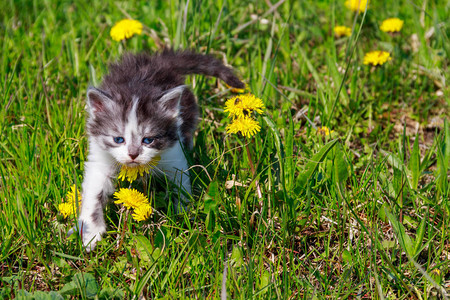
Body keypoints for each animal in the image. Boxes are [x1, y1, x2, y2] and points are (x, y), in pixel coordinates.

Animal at [72, 50, 244, 252]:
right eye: (118, 139)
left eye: (148, 140)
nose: (133, 154)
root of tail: (156, 62)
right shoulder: (100, 157)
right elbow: (94, 192)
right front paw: (90, 234)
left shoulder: (174, 154)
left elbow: (180, 183)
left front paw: (182, 216)